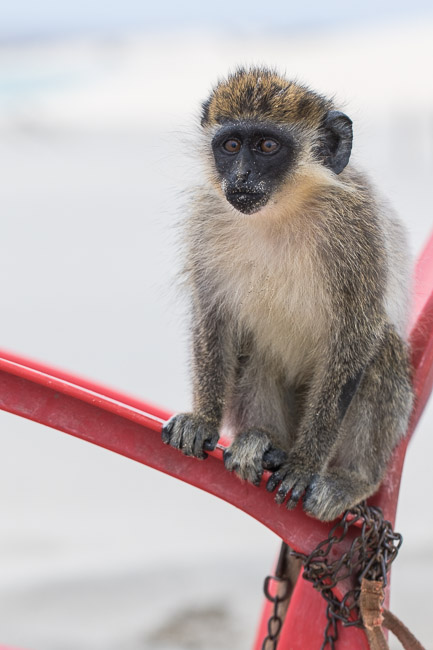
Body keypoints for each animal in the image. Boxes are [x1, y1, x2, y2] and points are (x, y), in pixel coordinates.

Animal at [162, 67, 413, 522]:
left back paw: (349, 477)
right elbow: (214, 317)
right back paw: (263, 441)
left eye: (266, 146)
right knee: (254, 349)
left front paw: (303, 465)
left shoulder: (359, 225)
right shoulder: (207, 216)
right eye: (231, 146)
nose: (240, 177)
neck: (282, 208)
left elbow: (356, 335)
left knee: (381, 349)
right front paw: (203, 420)